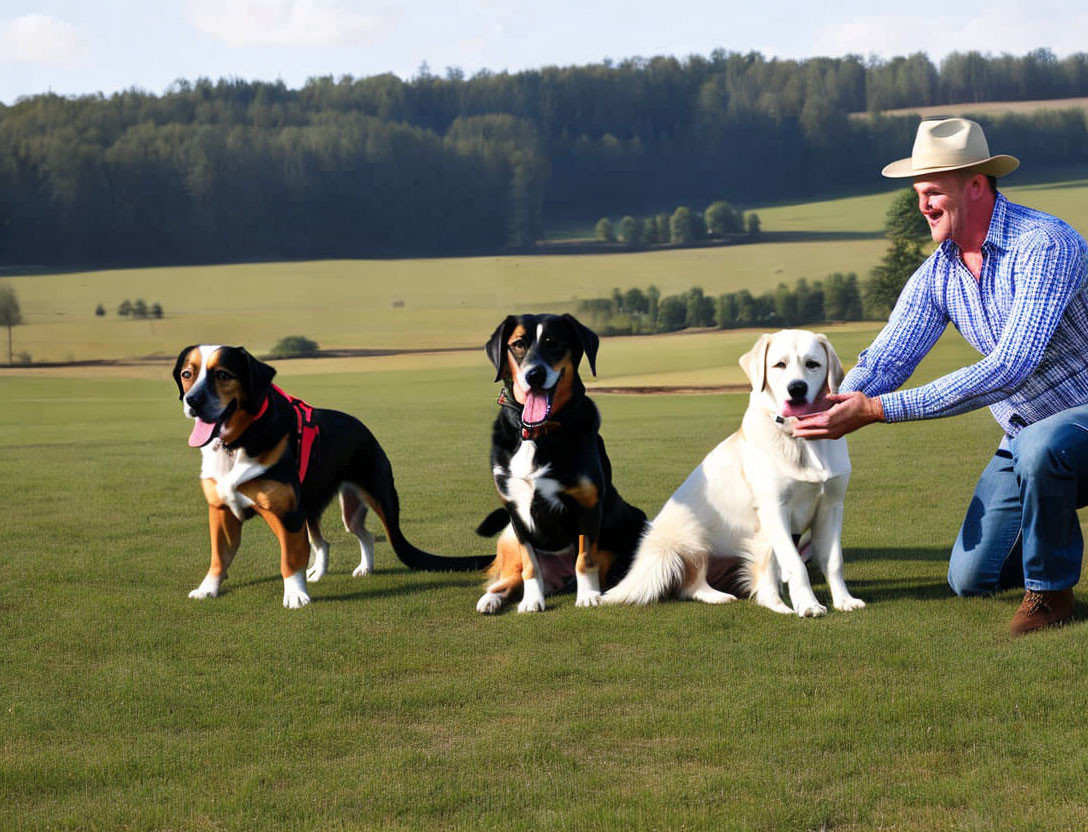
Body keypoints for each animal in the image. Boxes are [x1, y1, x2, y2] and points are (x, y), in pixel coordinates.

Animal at [172, 341, 489, 609]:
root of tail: (363, 428)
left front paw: (295, 595)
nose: (193, 401)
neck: (238, 443)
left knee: (365, 536)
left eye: (223, 374)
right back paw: (327, 571)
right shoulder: (222, 510)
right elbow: (219, 557)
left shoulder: (287, 514)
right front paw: (208, 589)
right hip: (322, 509)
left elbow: (290, 559)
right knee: (332, 541)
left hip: (369, 500)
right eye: (188, 374)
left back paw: (361, 568)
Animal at [476, 311, 644, 609]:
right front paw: (532, 601)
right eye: (518, 344)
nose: (534, 374)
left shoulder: (588, 504)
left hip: (635, 518)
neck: (536, 433)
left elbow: (585, 558)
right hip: (509, 538)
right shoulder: (515, 512)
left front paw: (587, 595)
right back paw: (492, 598)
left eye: (553, 343)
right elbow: (530, 565)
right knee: (510, 577)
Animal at [600, 328, 861, 613]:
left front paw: (844, 600)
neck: (800, 439)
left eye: (813, 364)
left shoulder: (830, 506)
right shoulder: (775, 507)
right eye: (779, 365)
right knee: (692, 585)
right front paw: (808, 605)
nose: (797, 388)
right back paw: (723, 597)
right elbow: (796, 565)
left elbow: (833, 561)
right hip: (694, 538)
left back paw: (775, 602)